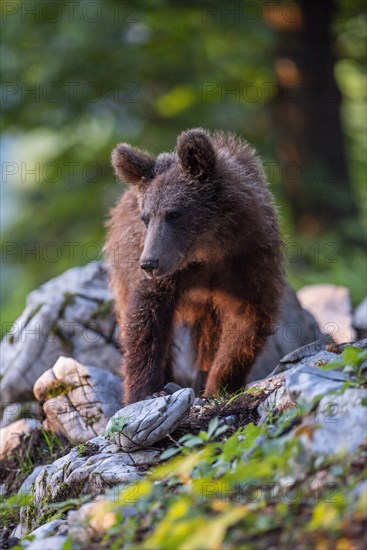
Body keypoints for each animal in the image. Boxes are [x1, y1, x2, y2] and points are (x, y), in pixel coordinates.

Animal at [106, 129, 284, 406]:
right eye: (146, 217)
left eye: (173, 213)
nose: (149, 263)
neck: (208, 249)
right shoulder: (169, 272)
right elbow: (146, 318)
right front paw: (145, 391)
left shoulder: (248, 260)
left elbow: (245, 321)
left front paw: (218, 386)